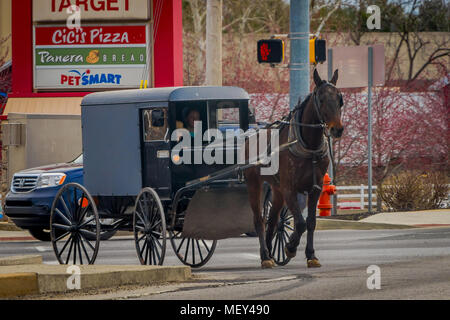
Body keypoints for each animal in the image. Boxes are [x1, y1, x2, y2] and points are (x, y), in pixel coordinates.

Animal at [243, 69, 344, 268]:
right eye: (321, 99)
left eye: (339, 98)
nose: (337, 129)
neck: (308, 146)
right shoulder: (290, 188)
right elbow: (300, 223)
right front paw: (290, 247)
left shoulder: (315, 189)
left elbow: (310, 222)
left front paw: (311, 254)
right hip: (254, 184)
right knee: (259, 220)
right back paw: (265, 255)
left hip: (277, 190)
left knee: (273, 221)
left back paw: (271, 252)